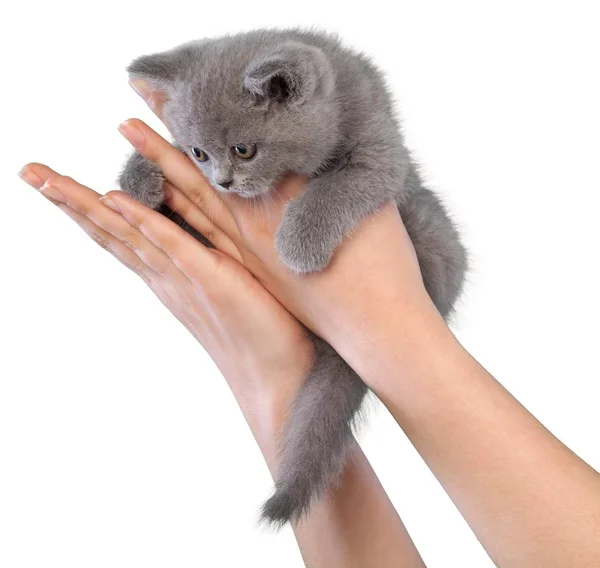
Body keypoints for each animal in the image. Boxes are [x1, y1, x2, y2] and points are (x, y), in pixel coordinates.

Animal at [119, 26, 468, 524]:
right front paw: (137, 175)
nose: (222, 182)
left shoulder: (381, 152)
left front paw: (298, 241)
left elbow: (338, 184)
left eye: (244, 149)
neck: (339, 99)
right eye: (198, 152)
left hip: (426, 225)